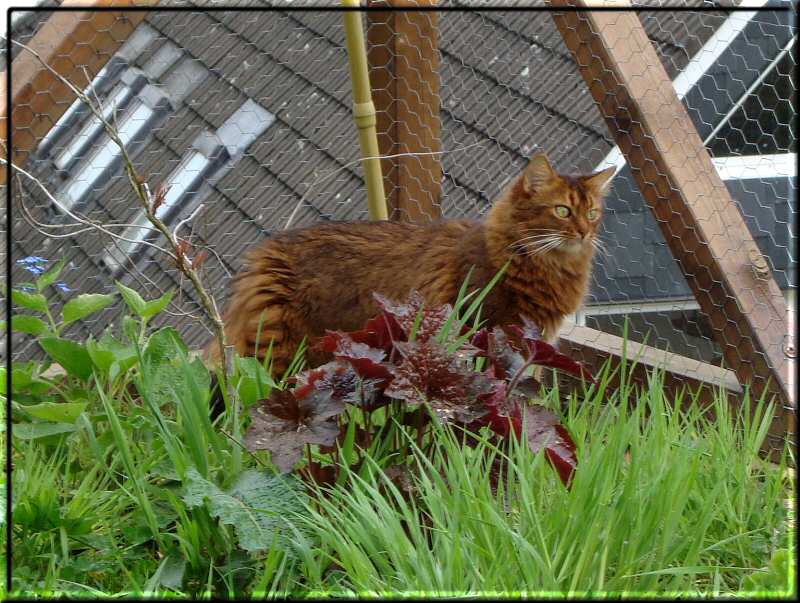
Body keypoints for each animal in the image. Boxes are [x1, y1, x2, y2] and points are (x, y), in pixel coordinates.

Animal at [211, 153, 612, 376]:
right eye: (563, 211)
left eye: (593, 213)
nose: (583, 232)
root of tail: (263, 253)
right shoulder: (491, 339)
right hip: (276, 357)